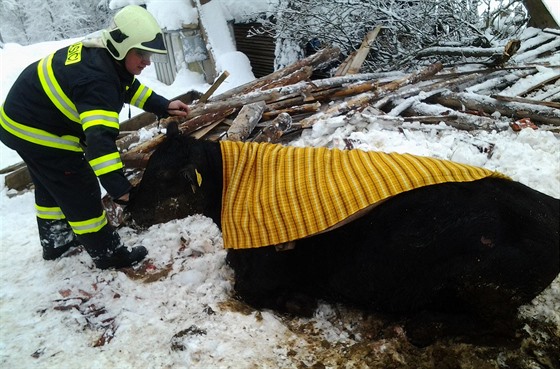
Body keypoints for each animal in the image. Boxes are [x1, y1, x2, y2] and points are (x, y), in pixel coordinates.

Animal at [128, 122, 560, 344]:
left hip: (483, 281)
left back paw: (424, 326)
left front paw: (299, 301)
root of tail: (548, 206)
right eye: (149, 165)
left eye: (163, 176)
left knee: (506, 331)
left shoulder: (259, 272)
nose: (127, 207)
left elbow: (253, 291)